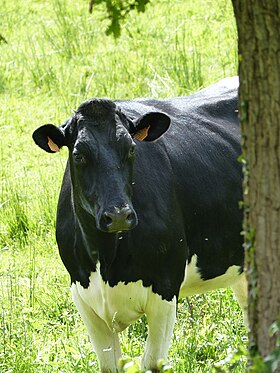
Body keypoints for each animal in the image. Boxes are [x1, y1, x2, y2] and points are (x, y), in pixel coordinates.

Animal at [33, 77, 247, 370]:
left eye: (132, 149)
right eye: (78, 155)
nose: (119, 215)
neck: (106, 258)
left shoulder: (165, 287)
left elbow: (152, 363)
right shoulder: (82, 294)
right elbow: (109, 365)